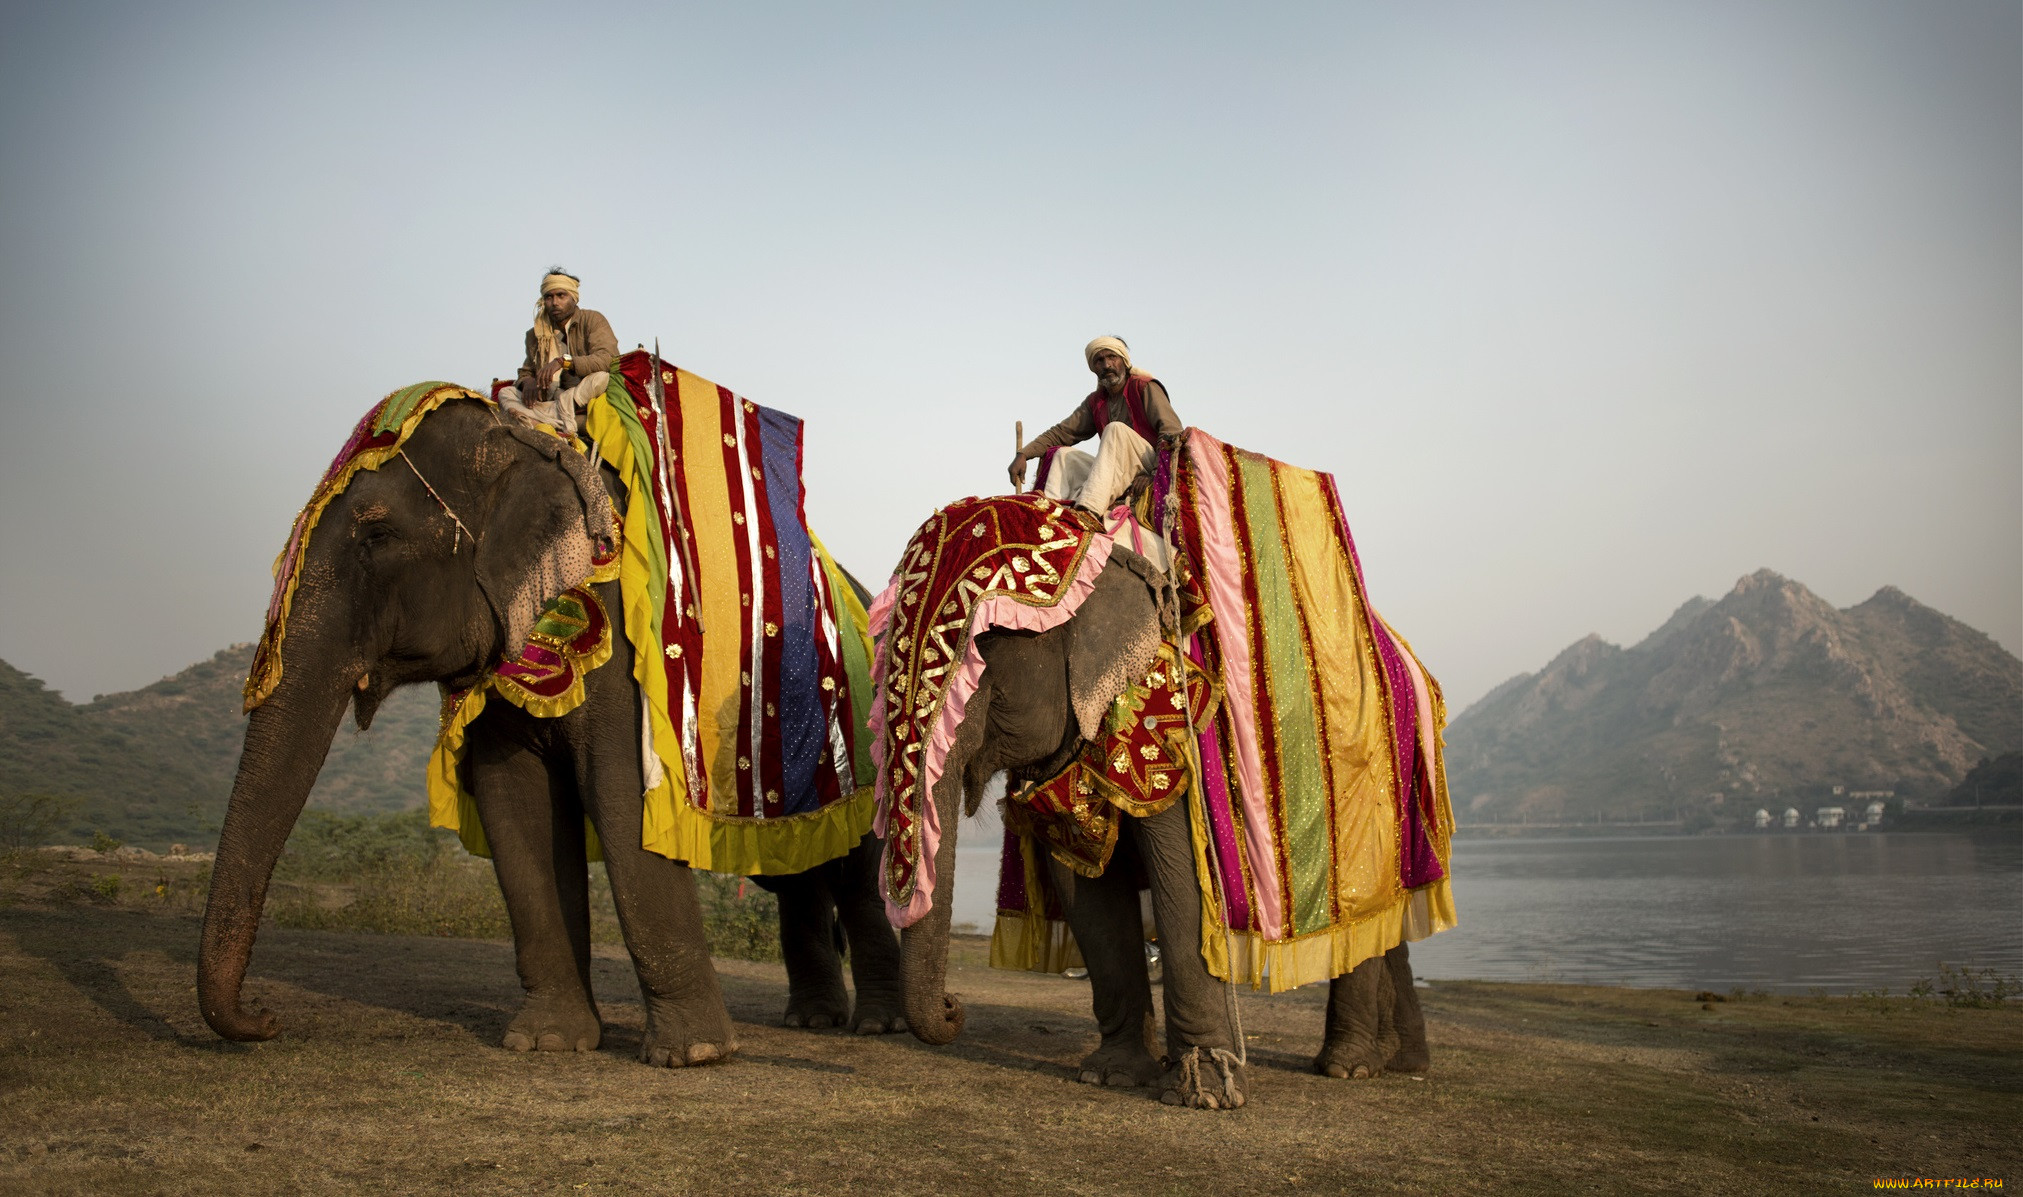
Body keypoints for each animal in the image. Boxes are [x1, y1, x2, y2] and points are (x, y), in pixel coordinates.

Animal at [205, 363, 902, 1067]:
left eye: (377, 535)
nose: (266, 1019)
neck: (526, 443)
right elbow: (515, 805)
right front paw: (546, 1042)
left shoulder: (626, 650)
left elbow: (622, 798)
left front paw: (693, 1055)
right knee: (798, 879)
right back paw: (812, 1021)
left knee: (857, 879)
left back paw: (874, 1026)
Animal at [869, 434, 1456, 1108]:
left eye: (983, 653)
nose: (954, 1006)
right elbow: (1086, 886)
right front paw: (1115, 1074)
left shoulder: (1175, 715)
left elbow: (1183, 876)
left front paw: (1210, 1092)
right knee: (1386, 920)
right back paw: (1398, 1062)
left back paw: (1348, 1066)